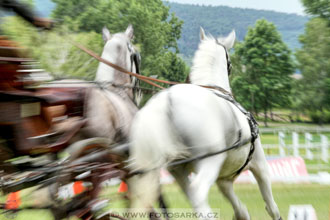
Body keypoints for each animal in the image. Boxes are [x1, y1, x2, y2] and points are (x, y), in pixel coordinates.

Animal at [128, 28, 282, 220]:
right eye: (229, 62)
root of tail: (168, 101)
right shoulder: (259, 164)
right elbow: (271, 205)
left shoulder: (223, 179)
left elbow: (240, 209)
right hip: (209, 161)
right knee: (197, 192)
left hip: (167, 168)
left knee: (184, 195)